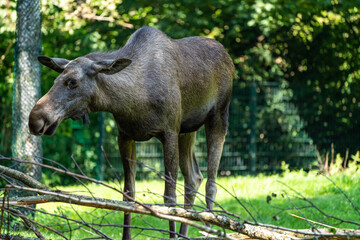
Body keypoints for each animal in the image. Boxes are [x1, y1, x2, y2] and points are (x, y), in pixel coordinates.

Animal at [28, 27, 236, 239]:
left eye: (72, 81)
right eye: (56, 80)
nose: (35, 119)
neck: (132, 100)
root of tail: (228, 57)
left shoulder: (169, 132)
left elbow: (169, 198)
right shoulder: (125, 136)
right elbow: (128, 195)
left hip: (218, 116)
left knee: (211, 183)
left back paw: (212, 228)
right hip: (187, 130)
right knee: (194, 178)